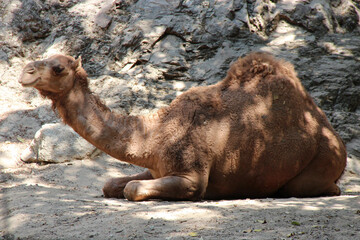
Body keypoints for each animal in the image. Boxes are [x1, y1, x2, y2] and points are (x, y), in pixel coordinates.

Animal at [19, 52, 346, 201]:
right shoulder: (156, 166)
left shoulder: (191, 176)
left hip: (323, 159)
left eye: (58, 68)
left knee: (307, 185)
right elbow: (110, 183)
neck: (155, 133)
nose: (26, 71)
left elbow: (133, 189)